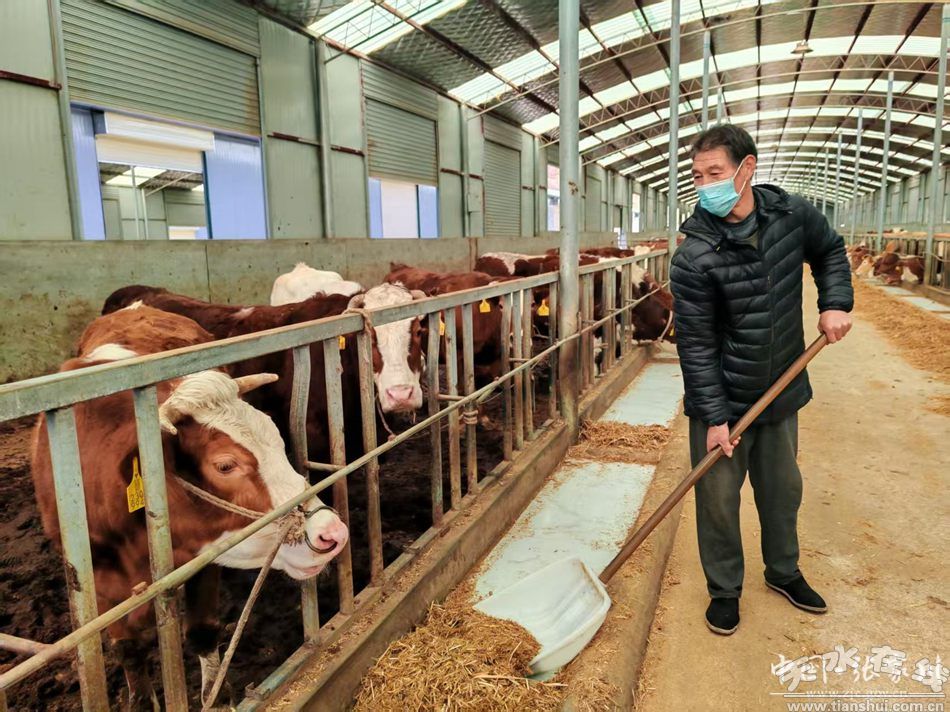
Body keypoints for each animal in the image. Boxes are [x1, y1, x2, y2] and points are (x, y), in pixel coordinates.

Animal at [33, 305, 348, 709]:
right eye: (225, 465)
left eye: (279, 441)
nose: (332, 533)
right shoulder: (97, 586)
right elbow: (129, 649)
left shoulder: (206, 556)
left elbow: (201, 630)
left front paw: (217, 697)